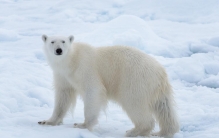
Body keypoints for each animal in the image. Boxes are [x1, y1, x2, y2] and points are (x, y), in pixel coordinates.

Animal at [39, 34, 180, 137]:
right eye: (52, 41)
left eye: (63, 41)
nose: (59, 50)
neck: (71, 61)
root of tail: (160, 72)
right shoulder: (62, 75)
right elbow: (63, 96)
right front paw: (47, 121)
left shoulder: (85, 68)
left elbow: (93, 91)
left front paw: (82, 124)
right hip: (155, 88)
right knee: (164, 108)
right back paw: (163, 131)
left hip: (134, 80)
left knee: (133, 103)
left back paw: (134, 131)